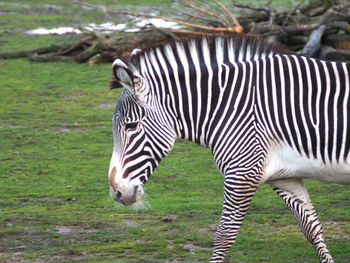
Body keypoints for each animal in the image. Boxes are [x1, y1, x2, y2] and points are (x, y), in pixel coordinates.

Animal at [107, 35, 350, 263]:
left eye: (131, 126)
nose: (116, 192)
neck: (230, 107)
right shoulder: (284, 177)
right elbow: (312, 228)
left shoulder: (243, 174)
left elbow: (224, 236)